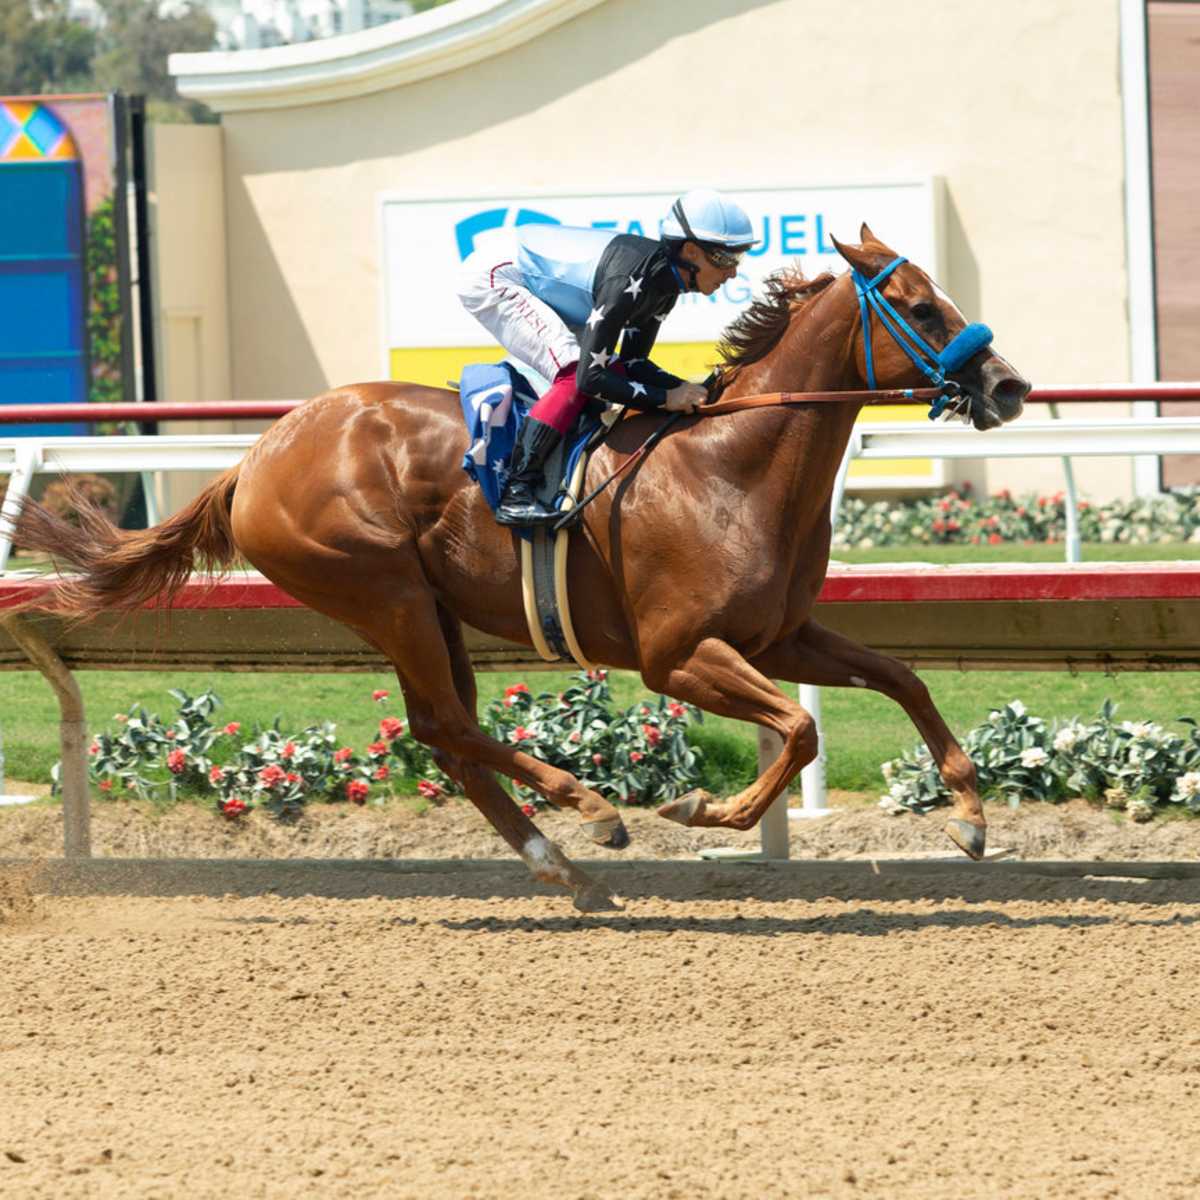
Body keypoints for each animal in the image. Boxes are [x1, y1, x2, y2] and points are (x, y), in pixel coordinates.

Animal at [16, 225, 1029, 911]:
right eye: (923, 307)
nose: (1009, 386)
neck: (732, 463)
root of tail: (256, 457)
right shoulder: (676, 655)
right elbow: (801, 731)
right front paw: (700, 810)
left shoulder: (777, 635)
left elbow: (898, 678)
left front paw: (971, 815)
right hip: (384, 590)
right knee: (447, 726)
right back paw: (592, 809)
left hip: (425, 607)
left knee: (447, 734)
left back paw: (566, 865)